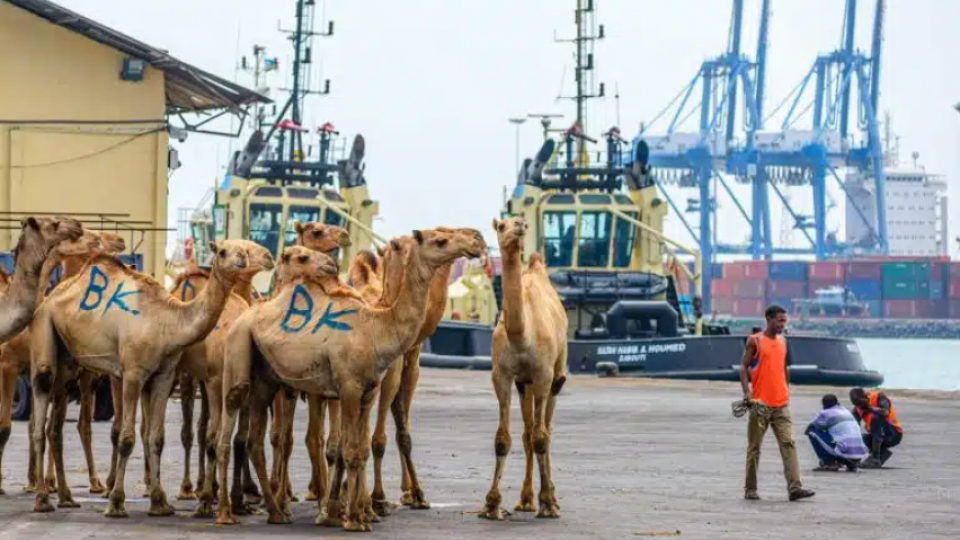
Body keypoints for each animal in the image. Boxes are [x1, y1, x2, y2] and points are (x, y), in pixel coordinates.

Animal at [0, 228, 124, 494]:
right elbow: (8, 426)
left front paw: (39, 483)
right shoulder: (8, 365)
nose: (119, 240)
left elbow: (39, 426)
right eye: (86, 234)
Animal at [218, 228, 488, 532]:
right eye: (440, 240)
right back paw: (228, 512)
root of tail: (244, 315)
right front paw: (350, 518)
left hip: (266, 381)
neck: (376, 328)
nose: (476, 241)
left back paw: (277, 511)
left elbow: (358, 450)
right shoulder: (348, 388)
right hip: (238, 355)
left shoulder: (367, 391)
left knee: (255, 442)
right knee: (229, 429)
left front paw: (356, 515)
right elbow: (348, 450)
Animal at [478, 217, 568, 520]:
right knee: (528, 433)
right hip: (523, 383)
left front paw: (548, 504)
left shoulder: (543, 375)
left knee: (546, 430)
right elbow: (503, 440)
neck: (522, 336)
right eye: (500, 225)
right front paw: (491, 504)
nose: (518, 224)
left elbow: (541, 438)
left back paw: (550, 497)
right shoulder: (502, 376)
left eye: (523, 223)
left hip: (556, 375)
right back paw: (526, 499)